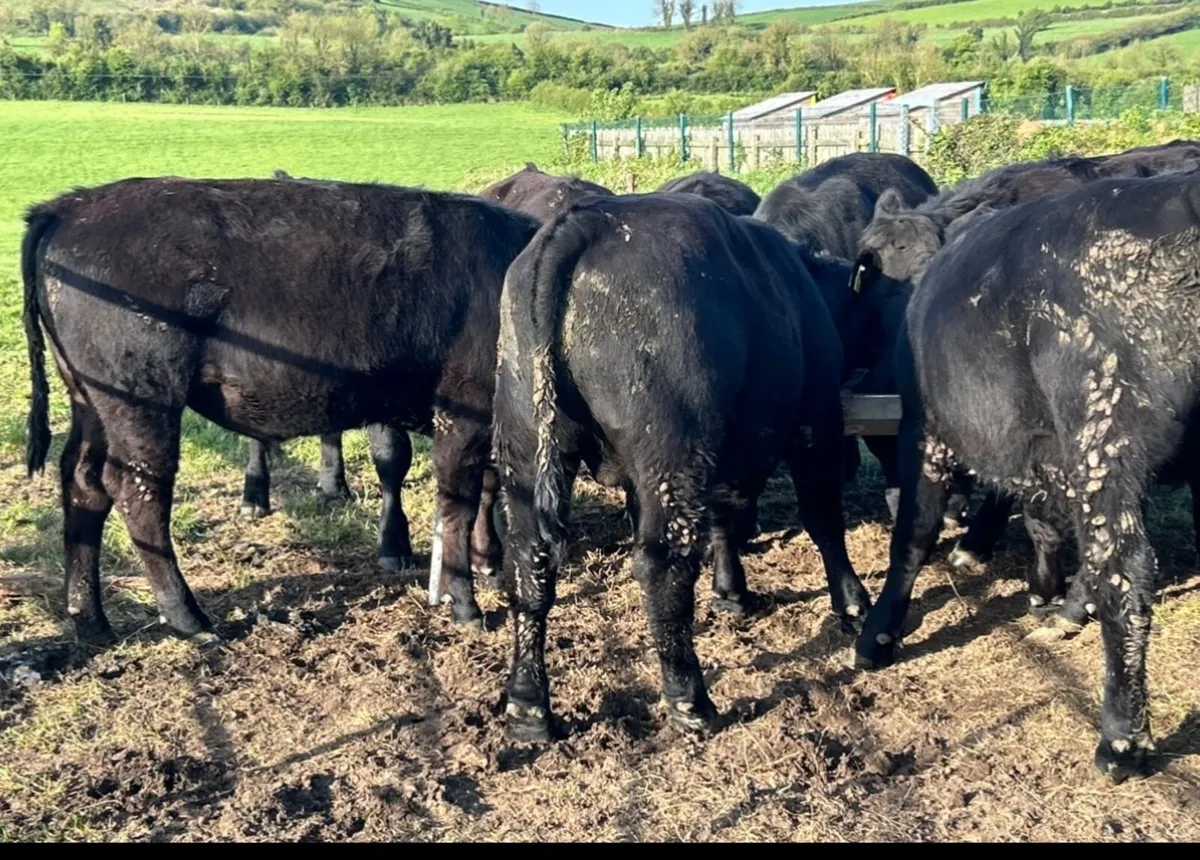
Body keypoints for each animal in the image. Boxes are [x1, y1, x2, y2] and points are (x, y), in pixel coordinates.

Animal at [22, 177, 539, 644]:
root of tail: (68, 206)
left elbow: (488, 487)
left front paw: (490, 562)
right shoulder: (464, 412)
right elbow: (458, 505)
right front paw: (467, 604)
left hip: (91, 404)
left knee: (83, 483)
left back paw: (90, 620)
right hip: (142, 404)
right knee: (137, 493)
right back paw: (191, 619)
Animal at [492, 193, 877, 740]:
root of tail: (586, 222)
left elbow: (723, 519)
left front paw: (732, 593)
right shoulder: (815, 423)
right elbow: (822, 518)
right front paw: (852, 603)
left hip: (526, 449)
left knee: (530, 563)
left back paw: (528, 706)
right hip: (671, 455)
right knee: (661, 564)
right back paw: (689, 700)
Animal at [851, 173, 1200, 782]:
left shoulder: (928, 430)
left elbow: (913, 535)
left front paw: (880, 634)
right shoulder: (1043, 449)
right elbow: (1045, 523)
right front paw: (1054, 598)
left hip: (1105, 436)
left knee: (1126, 568)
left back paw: (1121, 741)